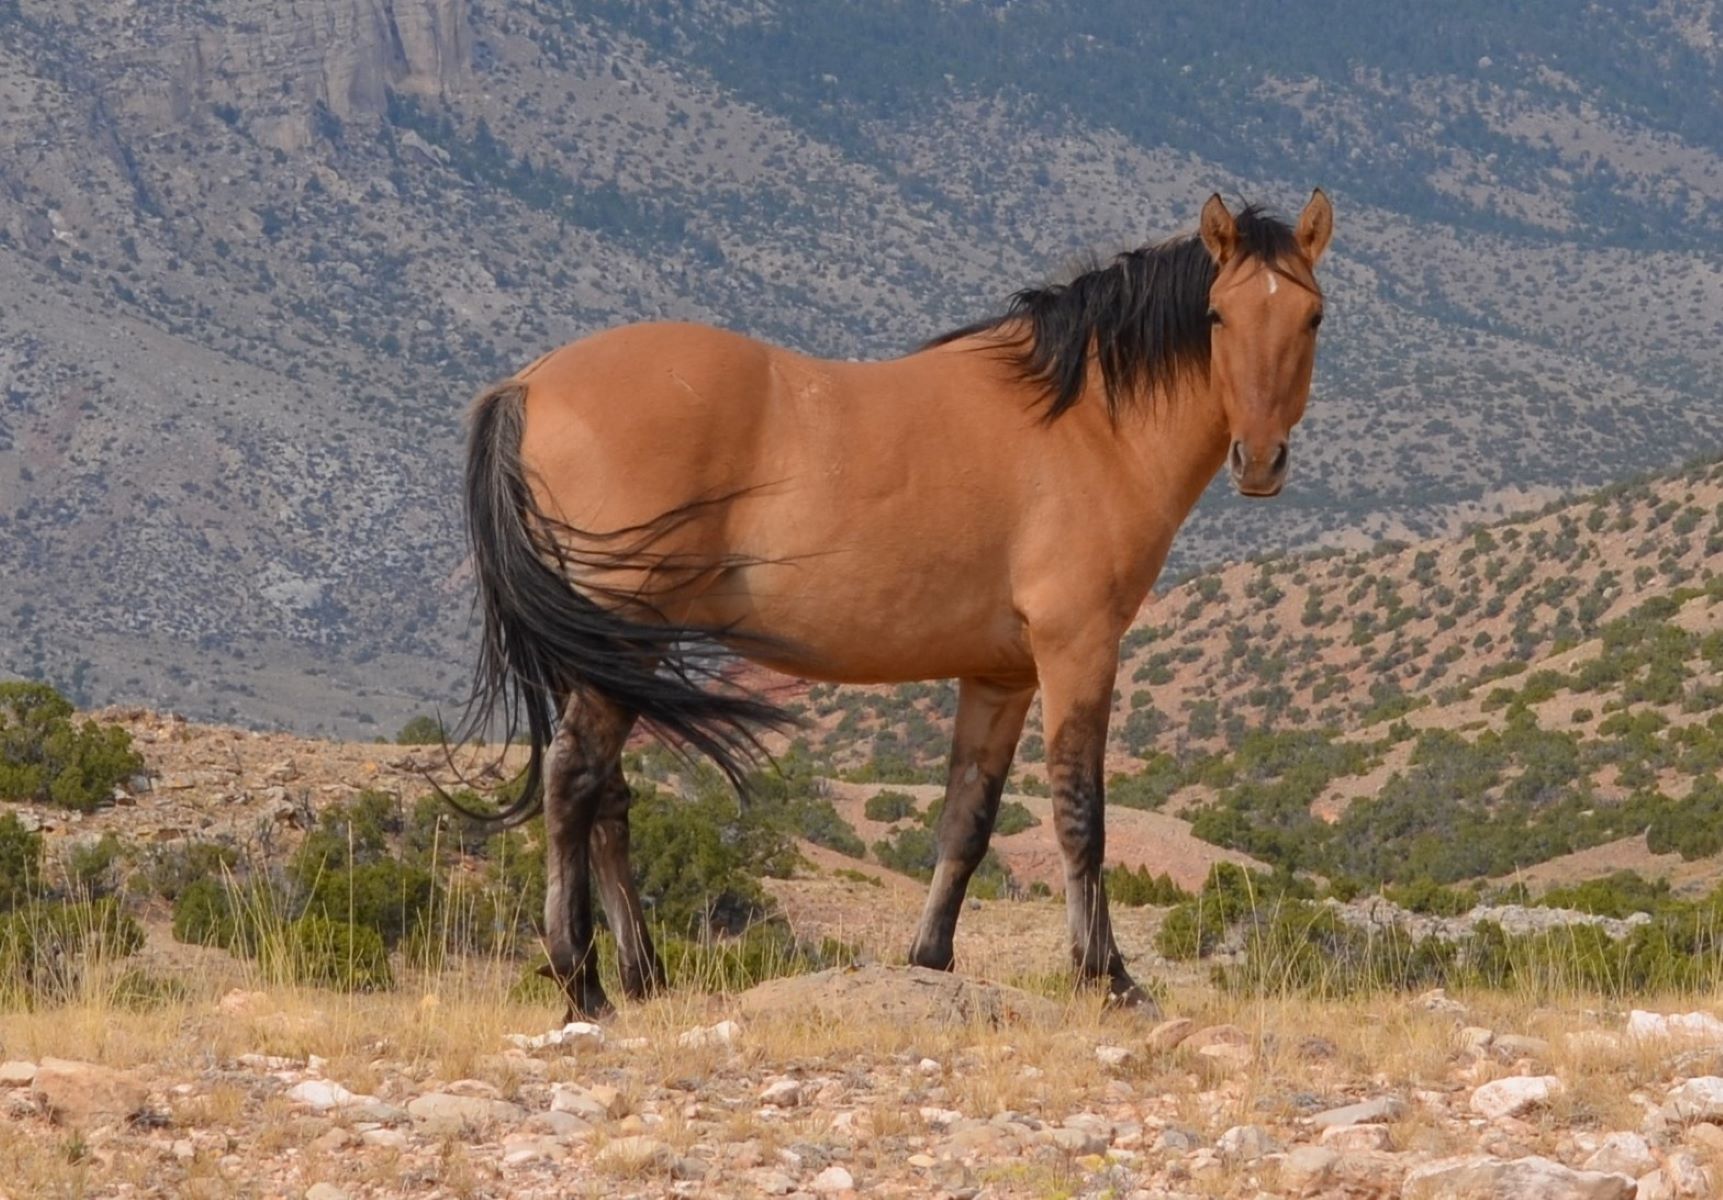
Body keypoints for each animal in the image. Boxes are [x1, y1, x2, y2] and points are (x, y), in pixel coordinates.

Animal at [460, 190, 1333, 1020]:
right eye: (1217, 315)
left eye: (1311, 315)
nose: (1260, 460)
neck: (1086, 424)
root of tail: (529, 383)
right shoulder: (1077, 648)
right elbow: (1079, 813)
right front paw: (1108, 977)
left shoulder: (1001, 677)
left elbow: (967, 818)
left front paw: (930, 960)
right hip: (623, 638)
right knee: (573, 779)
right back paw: (583, 984)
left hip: (609, 651)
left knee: (607, 795)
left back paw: (643, 978)